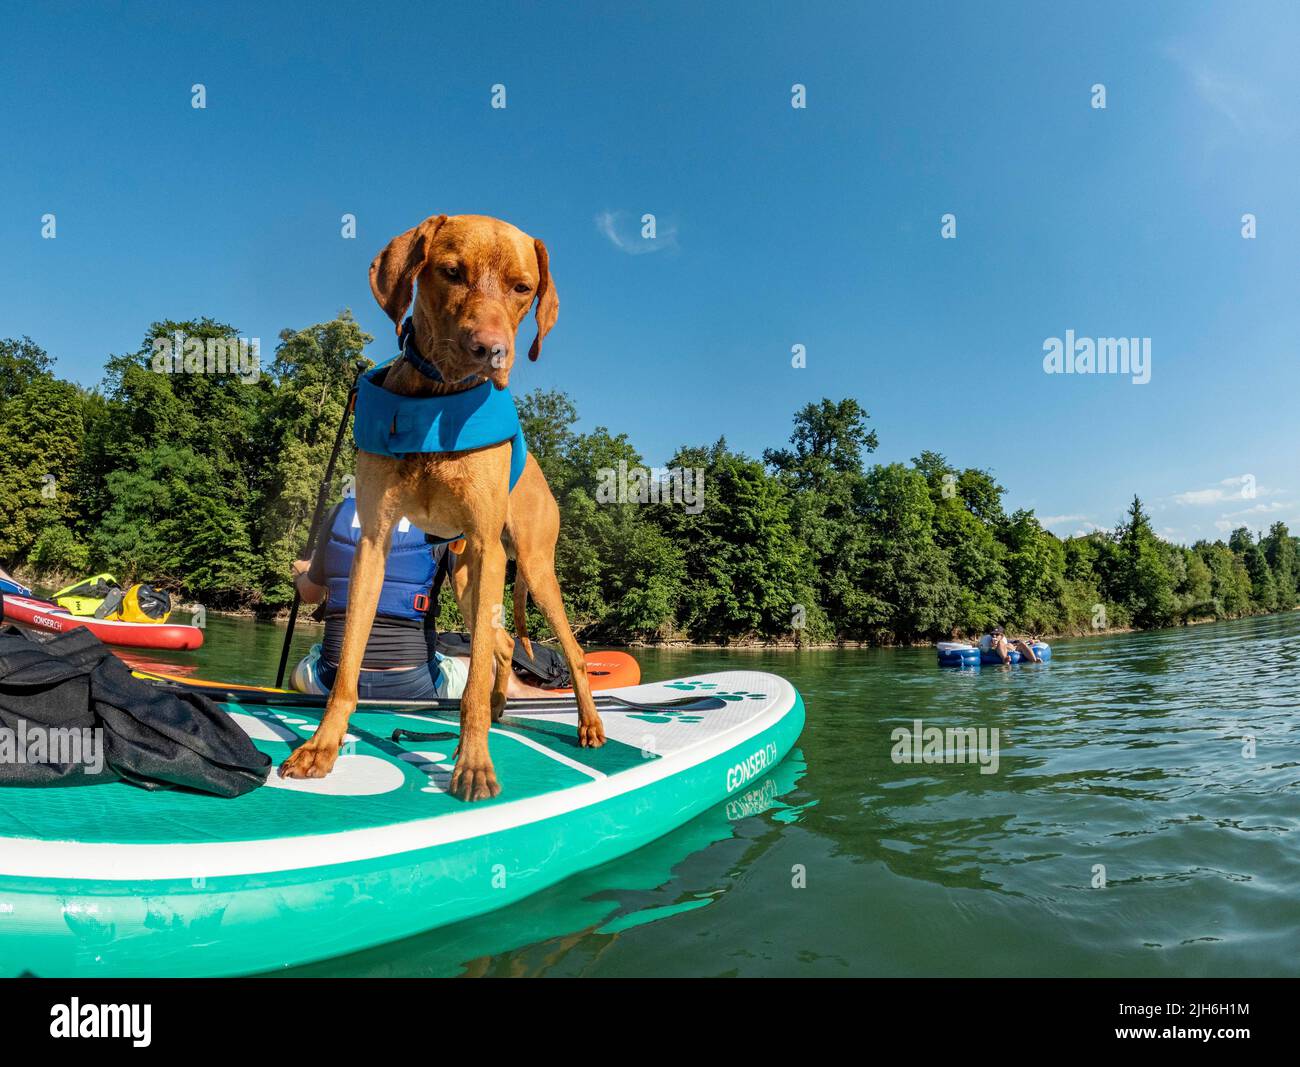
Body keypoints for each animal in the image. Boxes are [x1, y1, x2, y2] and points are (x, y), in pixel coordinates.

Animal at [279, 214, 603, 800]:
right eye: (452, 273)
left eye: (523, 288)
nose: (490, 351)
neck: (436, 402)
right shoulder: (374, 544)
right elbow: (348, 668)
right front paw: (322, 747)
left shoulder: (485, 542)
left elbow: (469, 686)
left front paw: (473, 764)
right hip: (469, 576)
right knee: (502, 646)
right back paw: (499, 710)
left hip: (528, 567)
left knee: (571, 652)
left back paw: (586, 724)